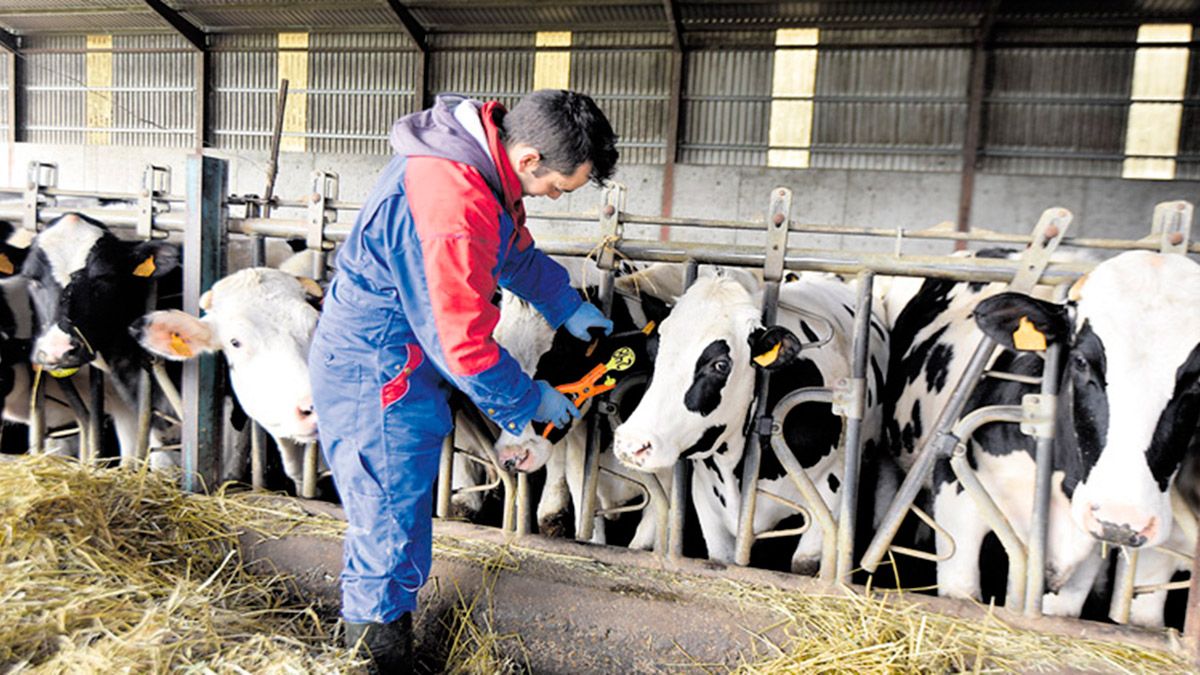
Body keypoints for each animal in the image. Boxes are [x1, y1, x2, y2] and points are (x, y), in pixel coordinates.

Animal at [614, 270, 888, 569]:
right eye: (653, 351)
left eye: (721, 364)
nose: (631, 444)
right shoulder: (706, 501)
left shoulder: (831, 495)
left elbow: (803, 564)